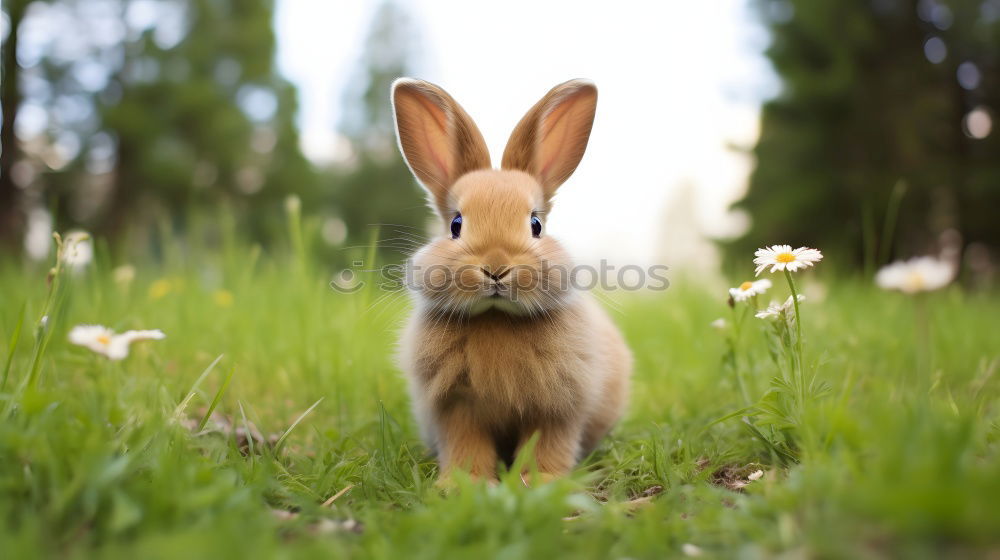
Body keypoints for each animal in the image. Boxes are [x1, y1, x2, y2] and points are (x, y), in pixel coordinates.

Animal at [390, 76, 632, 484]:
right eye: (456, 225)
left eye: (535, 224)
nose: (496, 267)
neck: (496, 316)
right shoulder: (456, 408)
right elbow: (466, 446)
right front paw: (464, 485)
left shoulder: (557, 408)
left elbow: (547, 446)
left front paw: (541, 482)